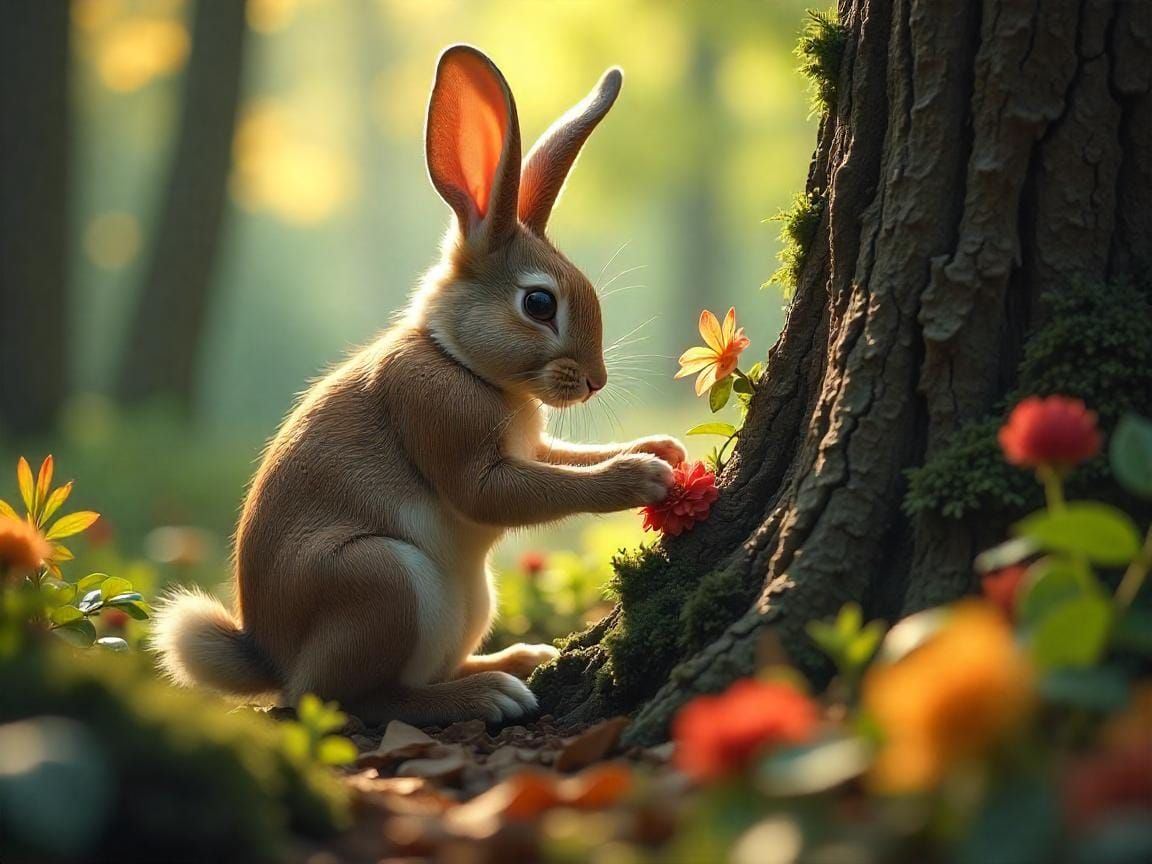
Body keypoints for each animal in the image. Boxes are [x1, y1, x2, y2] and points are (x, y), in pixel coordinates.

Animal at [151, 45, 687, 726]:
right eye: (539, 304)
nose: (596, 381)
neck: (454, 357)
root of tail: (270, 659)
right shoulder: (448, 429)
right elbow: (514, 491)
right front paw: (641, 476)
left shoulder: (531, 447)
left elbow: (563, 460)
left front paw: (662, 448)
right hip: (383, 581)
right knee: (355, 699)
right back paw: (489, 694)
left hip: (468, 601)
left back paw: (518, 660)